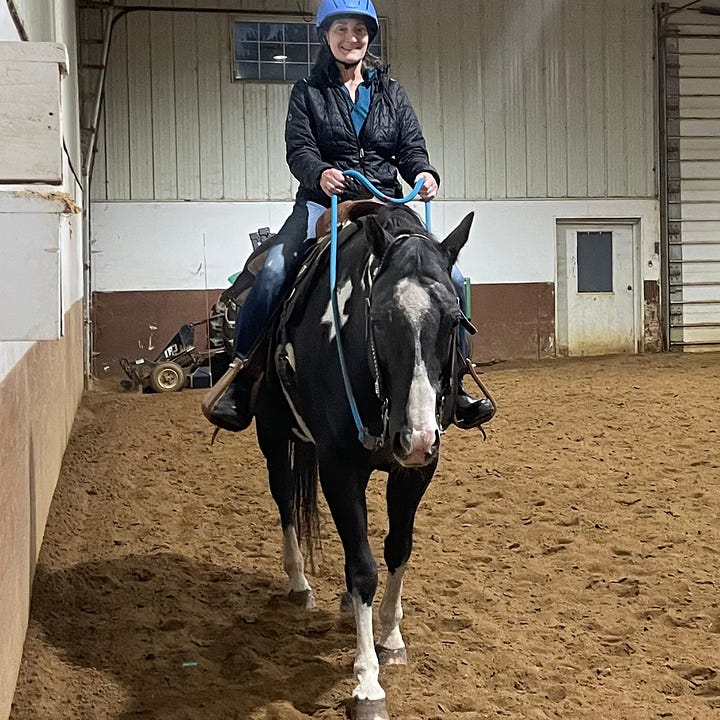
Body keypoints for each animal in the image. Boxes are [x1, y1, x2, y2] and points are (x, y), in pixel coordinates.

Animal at [252, 204, 472, 720]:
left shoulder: (417, 470)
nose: (415, 437)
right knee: (285, 500)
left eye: (454, 319)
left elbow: (397, 549)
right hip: (272, 433)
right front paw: (367, 683)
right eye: (380, 318)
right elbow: (363, 568)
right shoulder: (338, 468)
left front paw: (390, 638)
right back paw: (299, 583)